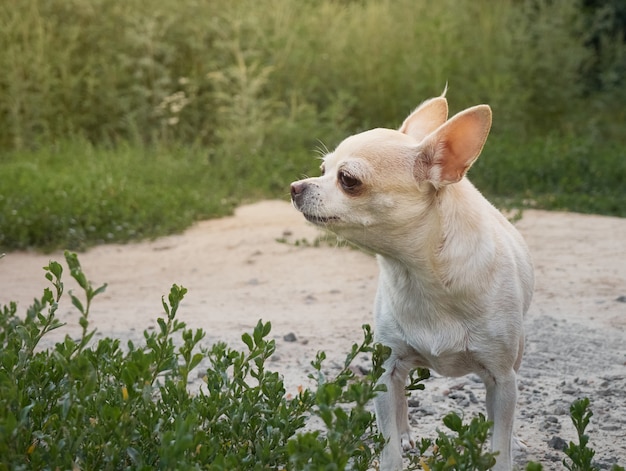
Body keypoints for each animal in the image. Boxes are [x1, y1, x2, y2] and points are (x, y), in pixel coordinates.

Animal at [292, 97, 532, 471]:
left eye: (347, 179)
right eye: (322, 168)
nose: (295, 187)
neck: (419, 273)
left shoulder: (502, 377)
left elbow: (499, 445)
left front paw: (504, 449)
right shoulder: (385, 372)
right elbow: (388, 442)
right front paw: (396, 445)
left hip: (513, 363)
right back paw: (406, 433)